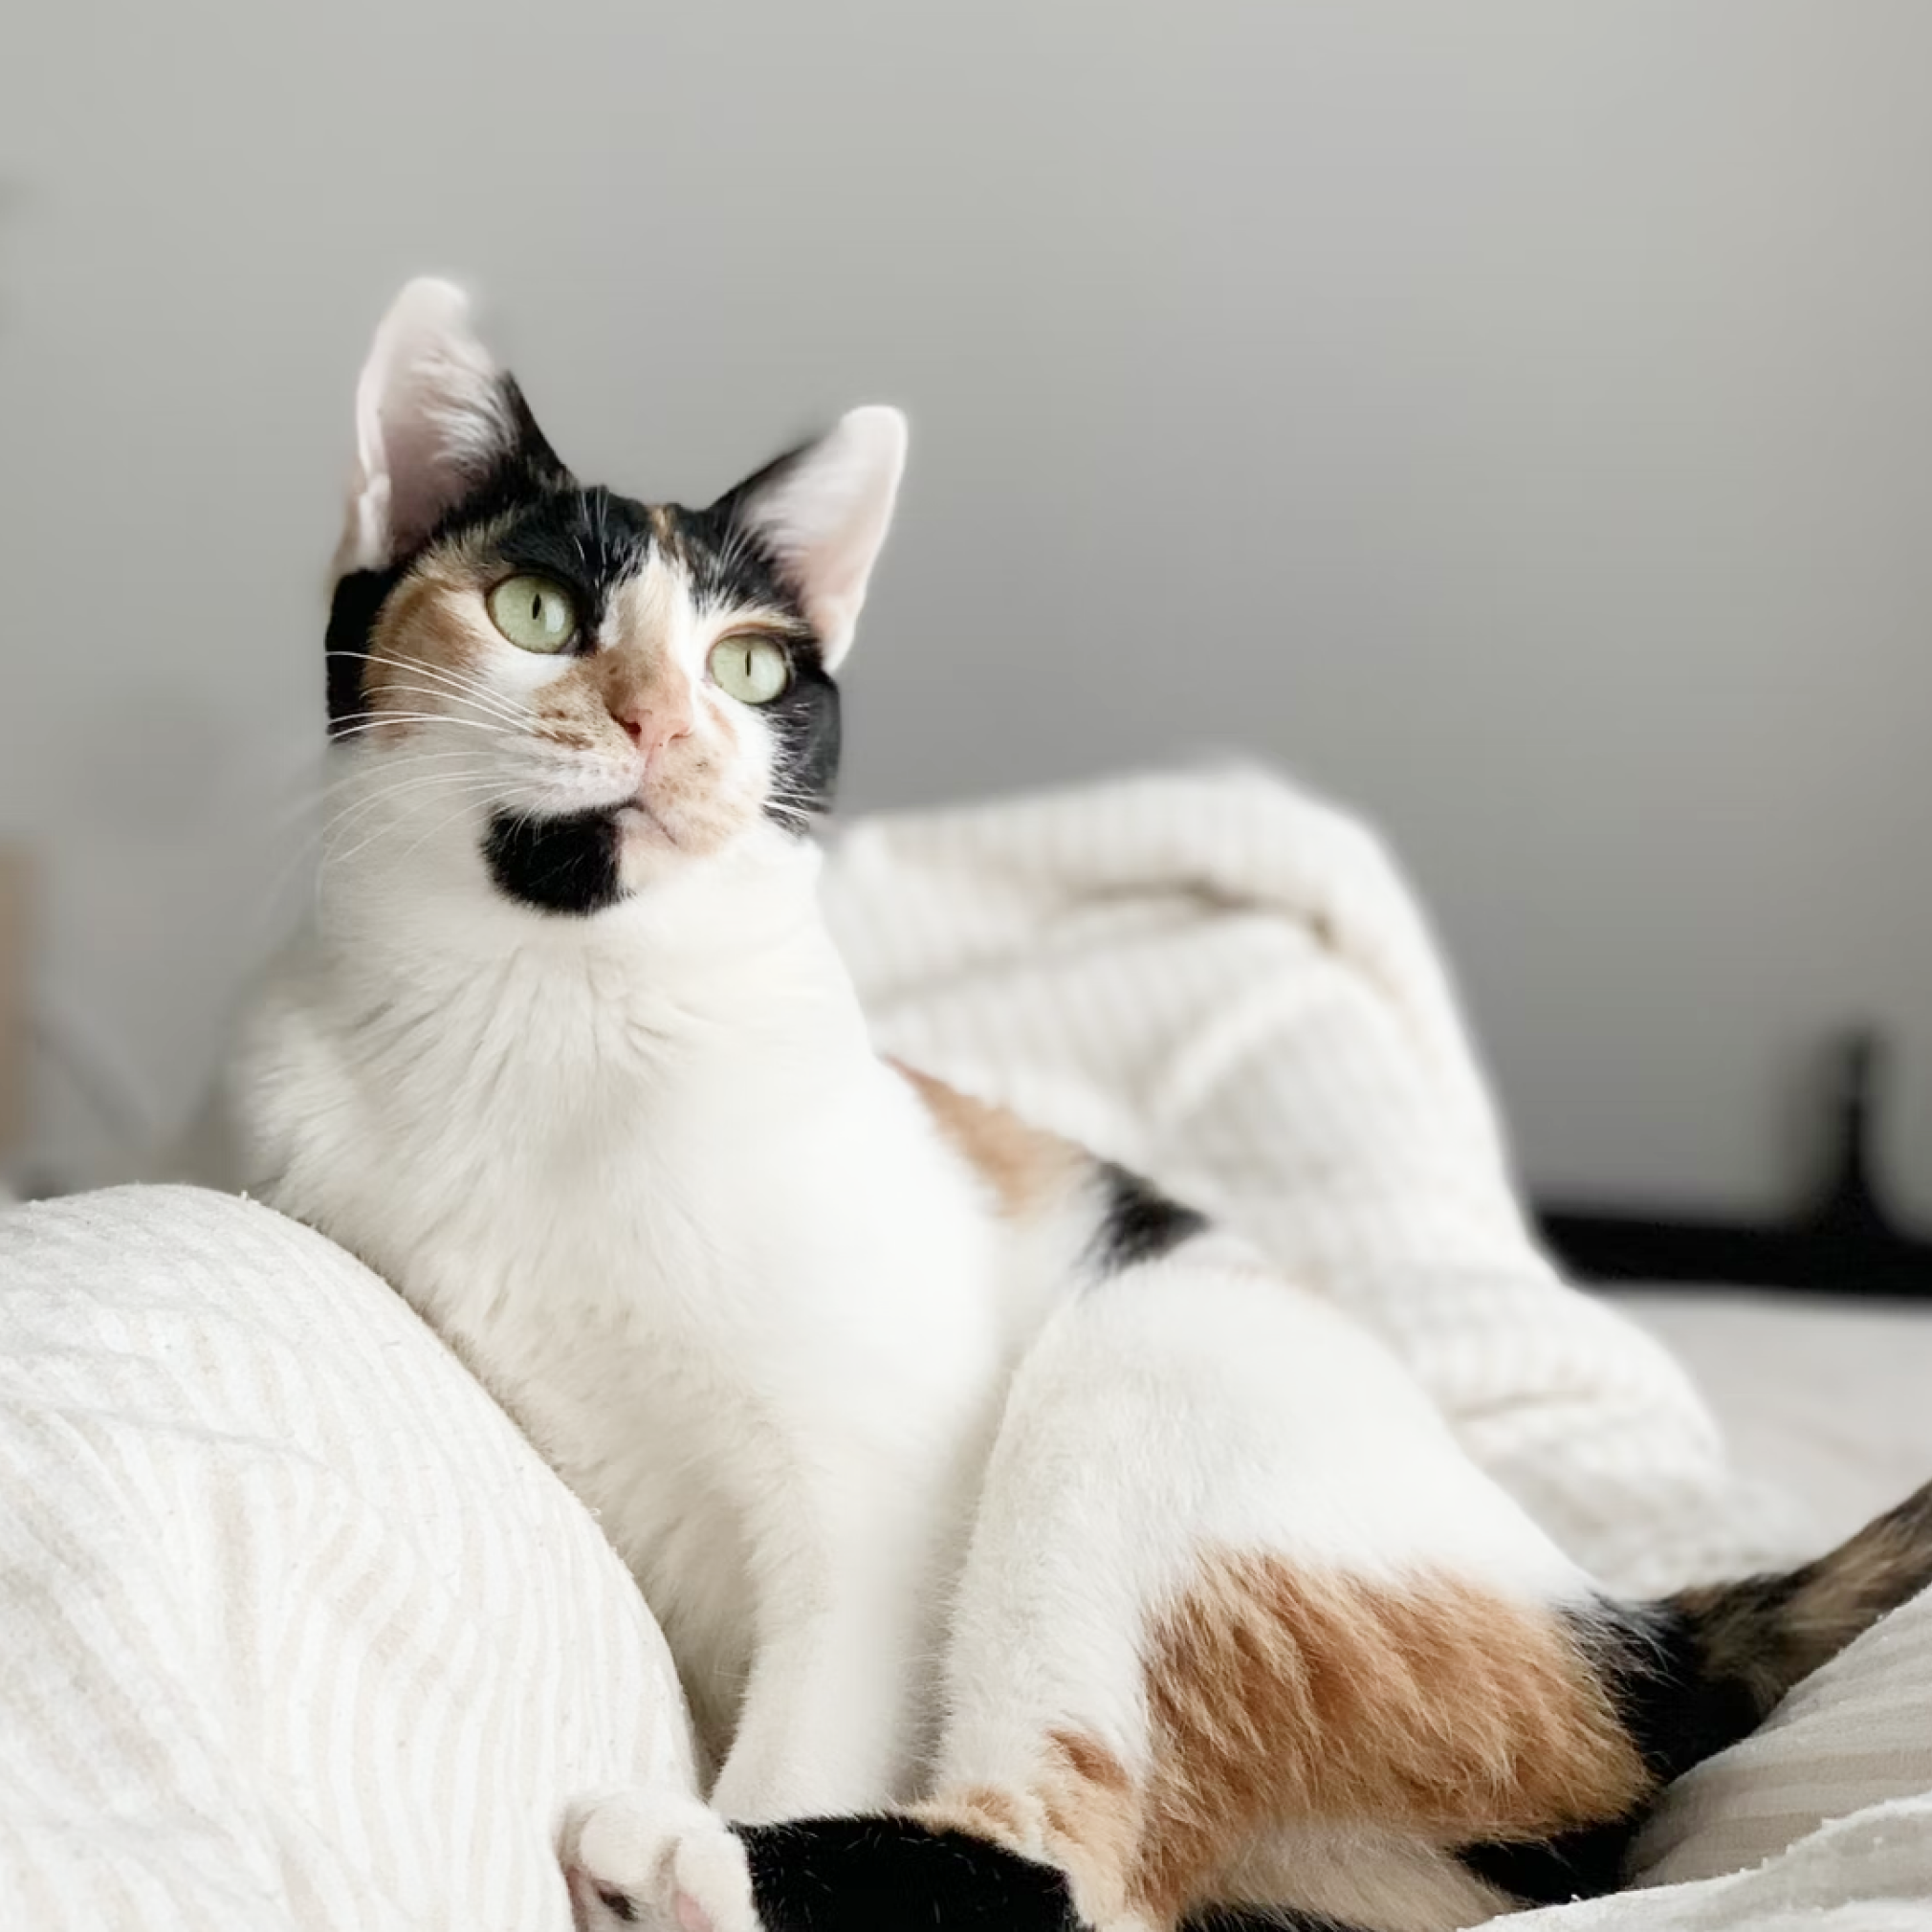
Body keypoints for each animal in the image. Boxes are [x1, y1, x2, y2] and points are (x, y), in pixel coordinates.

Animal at [208, 281, 1932, 1932]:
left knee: (1072, 1869)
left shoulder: (879, 1494)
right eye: (537, 610)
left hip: (1144, 1364)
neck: (548, 1019)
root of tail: (1630, 1628)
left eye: (749, 666)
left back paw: (671, 1859)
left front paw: (735, 1811)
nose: (664, 726)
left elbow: (823, 1709)